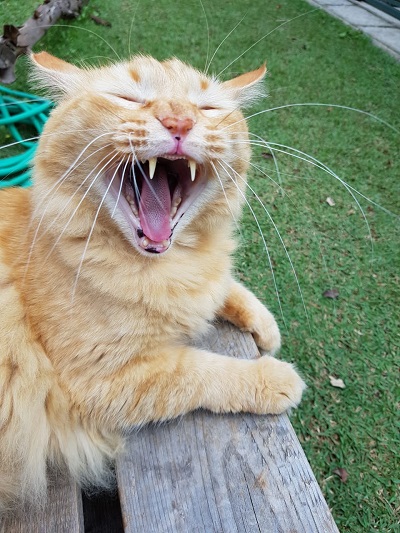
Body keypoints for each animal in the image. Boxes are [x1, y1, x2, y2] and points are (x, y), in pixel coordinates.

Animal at [0, 51, 304, 512]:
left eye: (207, 107)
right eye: (127, 98)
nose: (179, 122)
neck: (170, 263)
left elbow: (226, 287)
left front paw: (266, 328)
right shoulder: (99, 384)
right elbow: (201, 371)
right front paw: (274, 378)